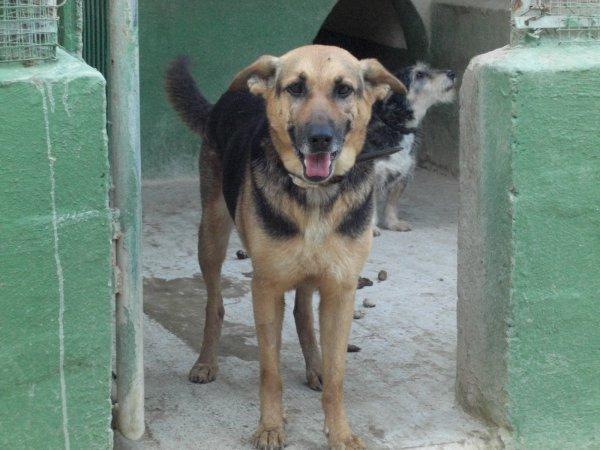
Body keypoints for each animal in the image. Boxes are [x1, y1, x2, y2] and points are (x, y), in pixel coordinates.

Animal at [166, 46, 406, 450]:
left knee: (303, 312)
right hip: (212, 234)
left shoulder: (341, 290)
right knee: (215, 304)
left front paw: (340, 432)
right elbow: (270, 370)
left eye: (344, 90)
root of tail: (234, 95)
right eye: (295, 88)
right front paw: (270, 427)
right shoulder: (266, 287)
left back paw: (314, 365)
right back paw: (206, 362)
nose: (320, 138)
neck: (315, 196)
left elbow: (337, 374)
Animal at [366, 63, 460, 232]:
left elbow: (392, 203)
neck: (394, 126)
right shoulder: (372, 176)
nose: (452, 73)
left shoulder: (403, 173)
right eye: (419, 74)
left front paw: (393, 223)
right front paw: (372, 229)